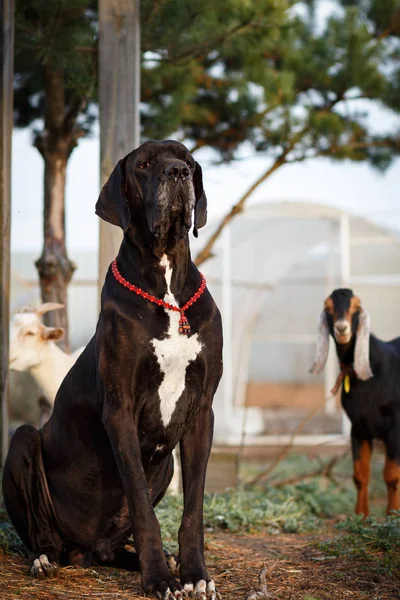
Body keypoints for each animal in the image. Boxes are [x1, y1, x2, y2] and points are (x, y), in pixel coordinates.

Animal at [2, 142, 222, 600]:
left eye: (188, 162)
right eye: (144, 165)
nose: (178, 174)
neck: (166, 286)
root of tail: (89, 548)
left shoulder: (201, 412)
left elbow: (193, 508)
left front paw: (194, 573)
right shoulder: (120, 410)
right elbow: (141, 505)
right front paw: (159, 579)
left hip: (165, 466)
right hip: (24, 441)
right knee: (40, 531)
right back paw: (46, 559)